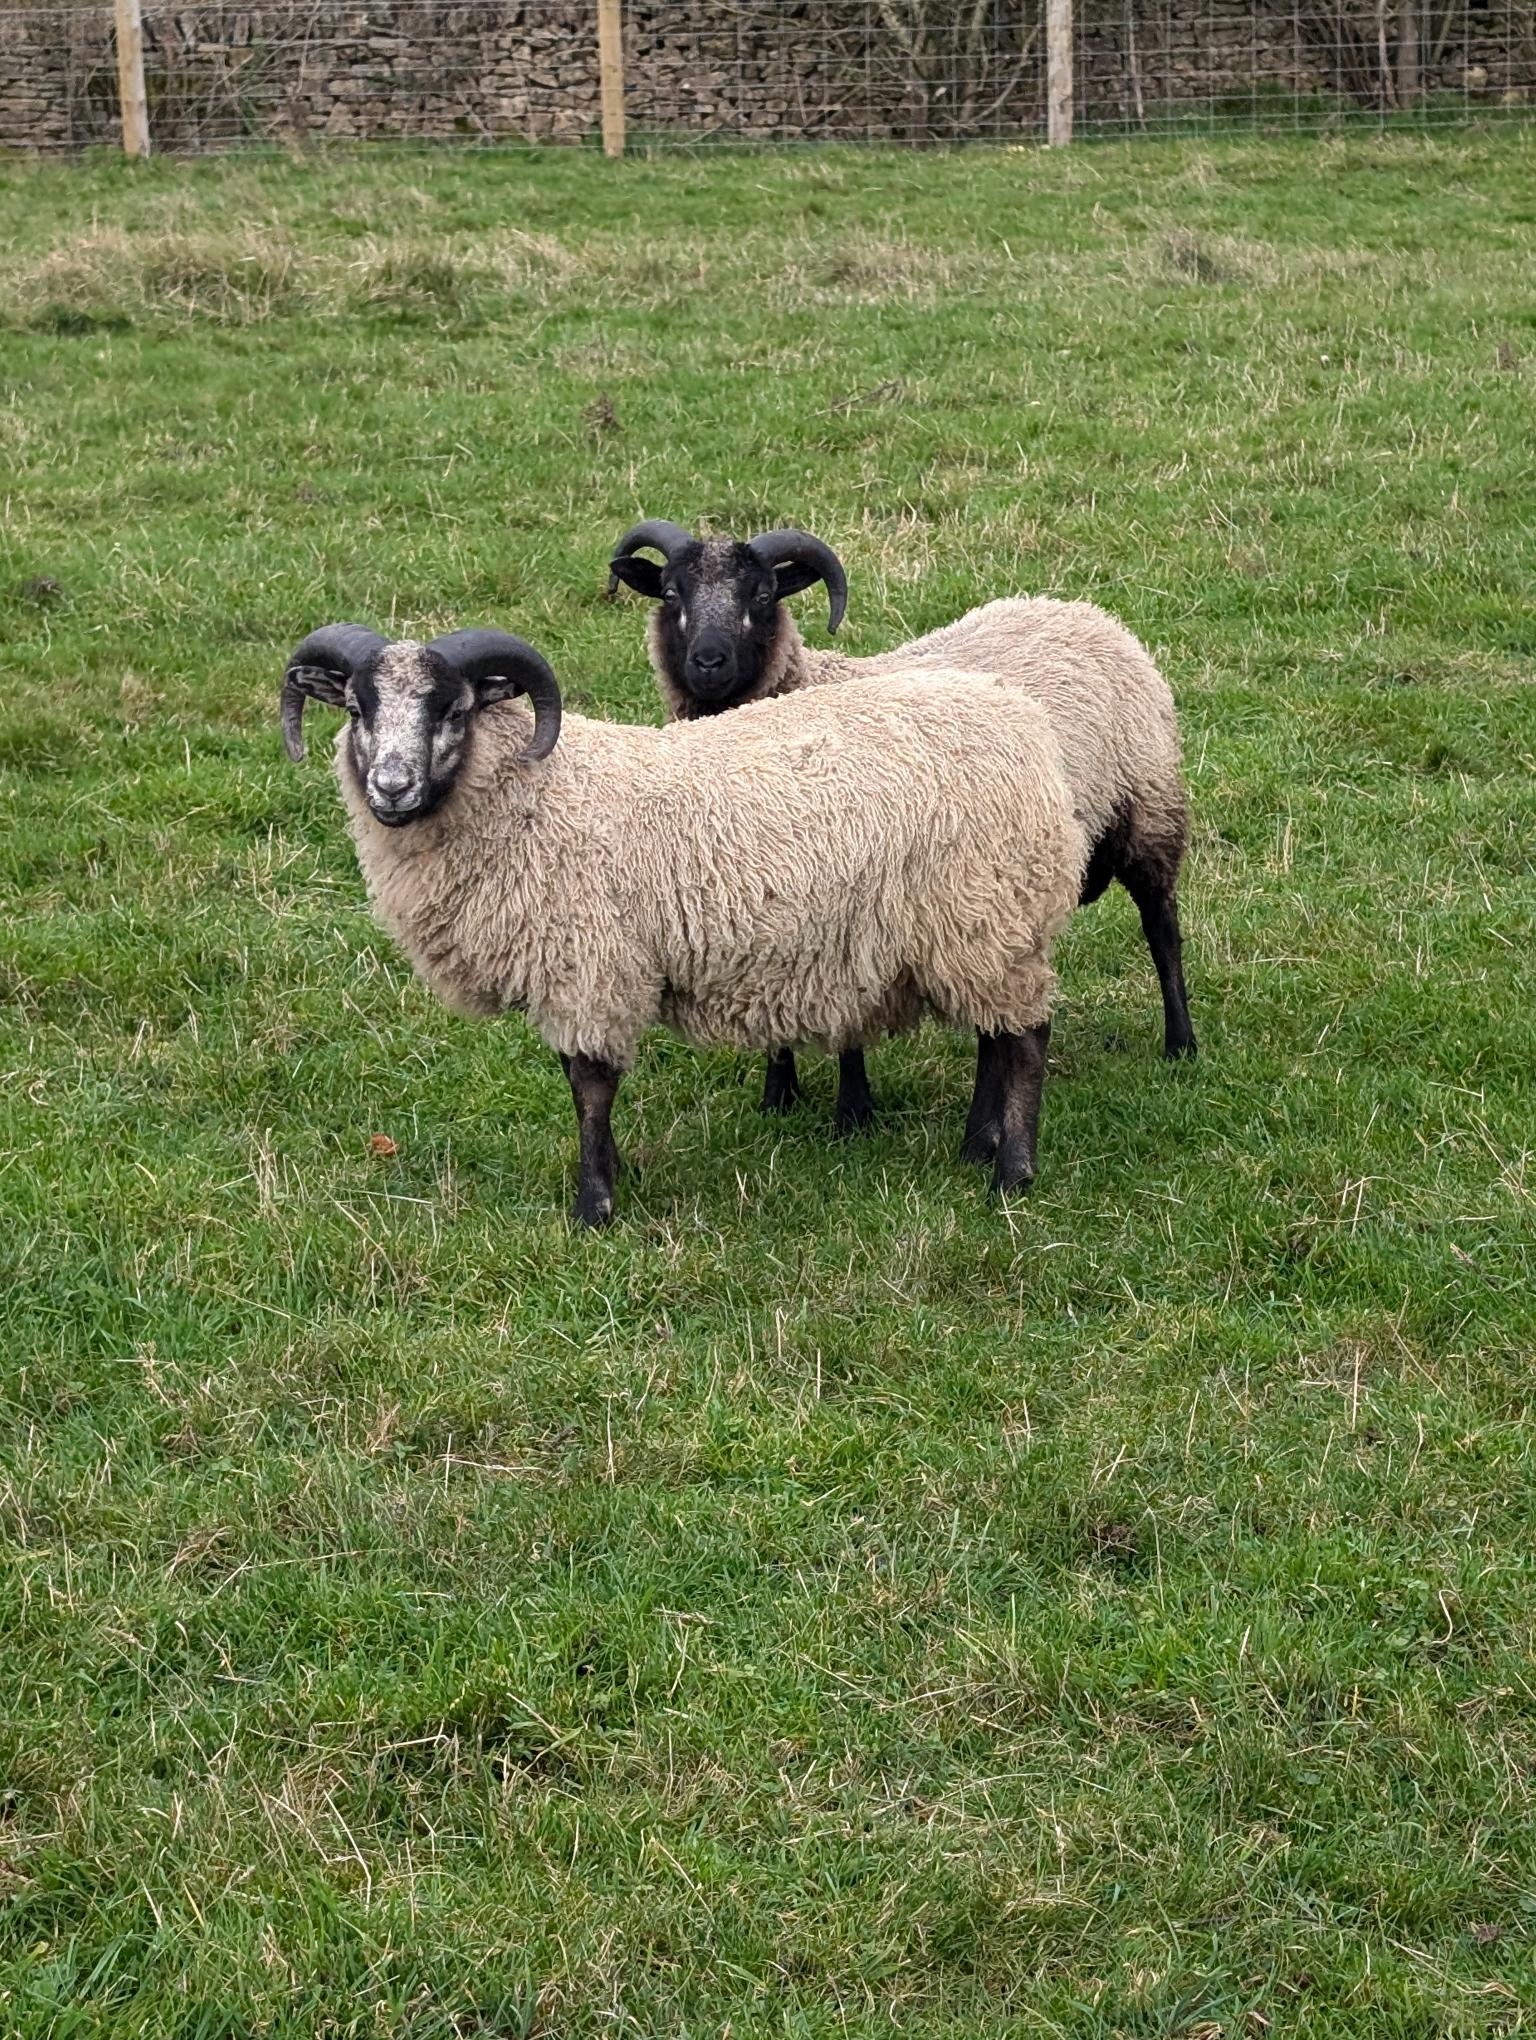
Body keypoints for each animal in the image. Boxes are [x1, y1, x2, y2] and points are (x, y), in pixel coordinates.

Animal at [280, 623, 1087, 1228]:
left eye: (452, 710)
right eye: (356, 709)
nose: (391, 789)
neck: (537, 795)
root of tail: (1023, 722)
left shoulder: (589, 965)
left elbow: (589, 1085)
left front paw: (595, 1206)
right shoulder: (577, 969)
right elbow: (580, 1080)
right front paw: (613, 1174)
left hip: (981, 911)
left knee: (1026, 1037)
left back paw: (1011, 1173)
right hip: (980, 925)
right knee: (995, 1034)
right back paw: (978, 1146)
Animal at [609, 520, 1196, 1129]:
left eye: (763, 595)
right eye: (671, 593)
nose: (709, 661)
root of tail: (1080, 609)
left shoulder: (849, 898)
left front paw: (853, 1114)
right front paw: (779, 1097)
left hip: (1148, 808)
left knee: (1162, 928)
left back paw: (1181, 1044)